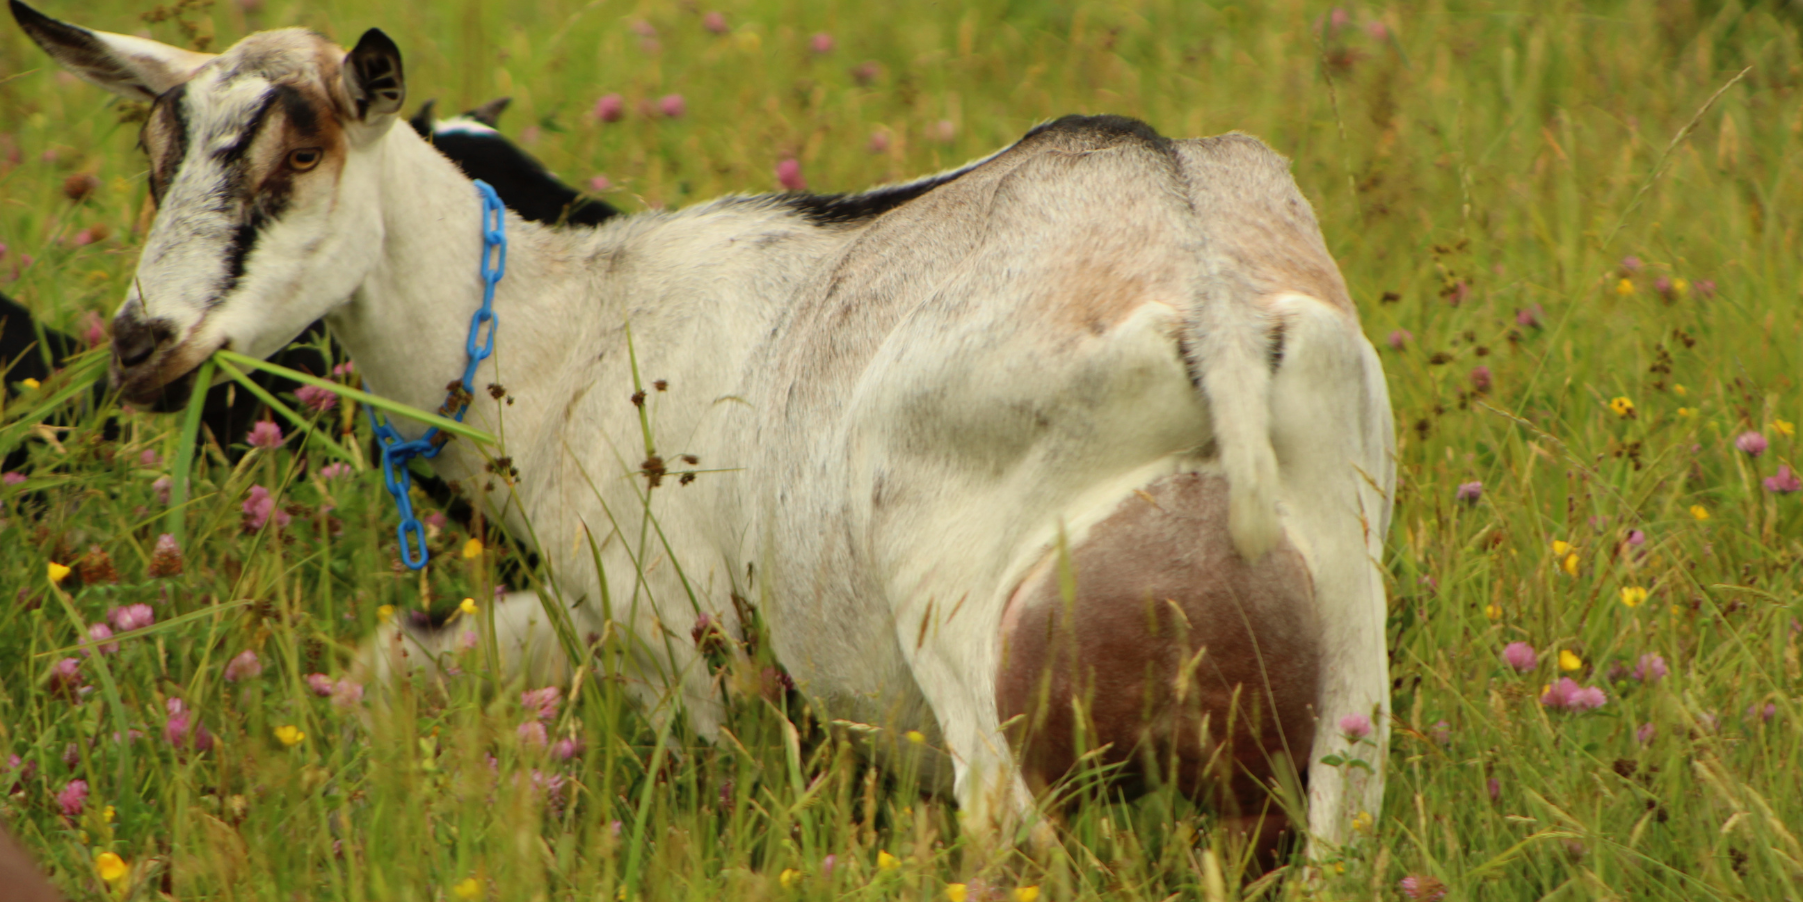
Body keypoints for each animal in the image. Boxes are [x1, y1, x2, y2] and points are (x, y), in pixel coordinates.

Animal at [14, 3, 1391, 865]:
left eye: (299, 154)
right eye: (158, 162)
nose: (141, 344)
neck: (567, 325)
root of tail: (1203, 294)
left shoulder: (669, 641)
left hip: (966, 646)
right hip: (1343, 674)